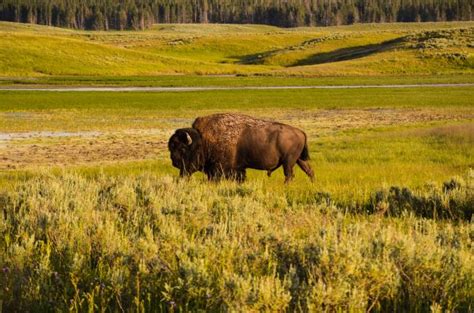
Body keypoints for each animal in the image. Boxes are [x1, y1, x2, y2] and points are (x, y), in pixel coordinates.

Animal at [168, 113, 314, 183]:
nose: (174, 162)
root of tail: (301, 132)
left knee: (289, 175)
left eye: (182, 149)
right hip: (299, 160)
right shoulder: (238, 169)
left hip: (288, 162)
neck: (203, 140)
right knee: (309, 171)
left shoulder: (221, 169)